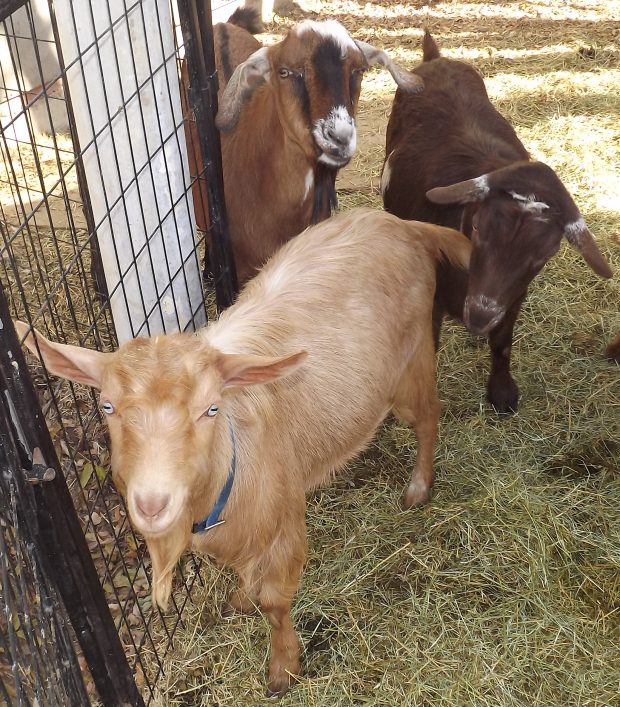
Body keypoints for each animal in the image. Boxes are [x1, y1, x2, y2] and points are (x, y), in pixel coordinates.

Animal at [16, 207, 470, 696]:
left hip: (412, 364)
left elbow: (275, 603)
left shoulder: (285, 523)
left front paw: (283, 668)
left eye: (211, 408)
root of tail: (403, 225)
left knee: (428, 417)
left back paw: (419, 487)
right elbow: (243, 577)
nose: (153, 503)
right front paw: (240, 599)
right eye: (107, 406)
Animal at [381, 31, 612, 413]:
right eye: (477, 228)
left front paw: (502, 393)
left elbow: (502, 341)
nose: (478, 315)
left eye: (545, 254)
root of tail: (437, 59)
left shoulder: (514, 294)